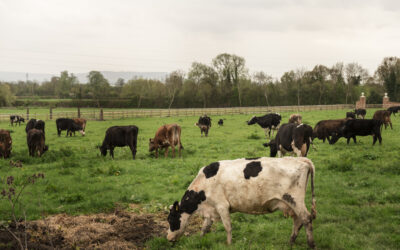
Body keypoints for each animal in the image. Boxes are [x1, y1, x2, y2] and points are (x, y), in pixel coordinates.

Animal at [166, 157, 316, 247]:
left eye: (171, 219)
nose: (168, 237)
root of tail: (300, 159)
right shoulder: (210, 210)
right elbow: (205, 227)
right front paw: (199, 239)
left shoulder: (222, 206)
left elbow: (227, 227)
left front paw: (229, 244)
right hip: (291, 204)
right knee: (298, 220)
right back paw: (290, 242)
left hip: (294, 199)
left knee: (306, 219)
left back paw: (310, 244)